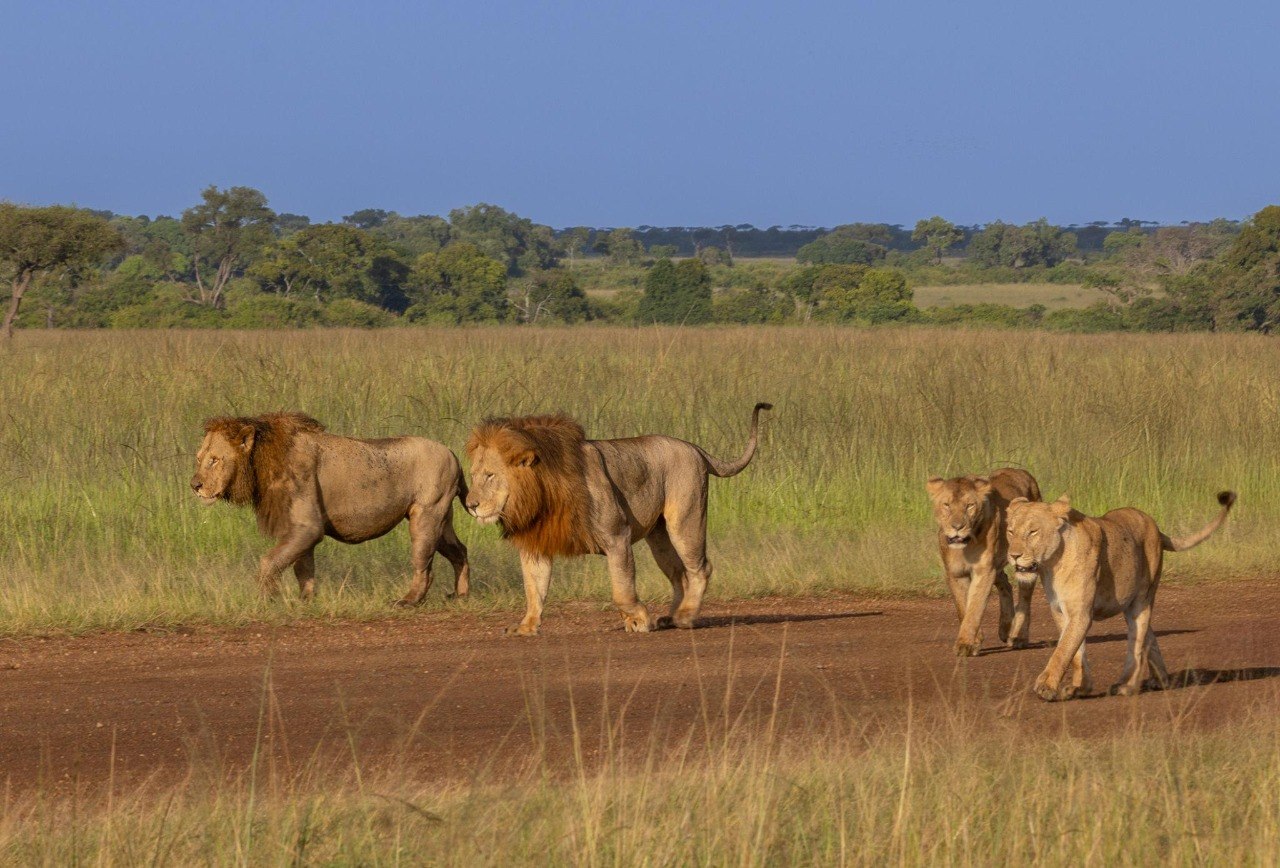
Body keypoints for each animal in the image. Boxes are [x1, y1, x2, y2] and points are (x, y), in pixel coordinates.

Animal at [190, 412, 470, 604]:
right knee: (460, 551)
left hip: (427, 515)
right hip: (441, 520)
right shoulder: (299, 529)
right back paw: (460, 595)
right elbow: (303, 568)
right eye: (199, 458)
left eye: (214, 460)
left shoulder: (308, 526)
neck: (260, 461)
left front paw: (265, 600)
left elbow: (270, 562)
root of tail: (453, 454)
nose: (194, 485)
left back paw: (408, 601)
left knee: (424, 564)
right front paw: (305, 602)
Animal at [464, 403, 772, 635]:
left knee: (700, 568)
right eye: (474, 475)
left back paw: (685, 617)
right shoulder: (536, 545)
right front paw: (526, 627)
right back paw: (671, 617)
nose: (470, 505)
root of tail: (695, 448)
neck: (542, 492)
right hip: (659, 536)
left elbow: (621, 588)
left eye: (490, 475)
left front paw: (638, 620)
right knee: (679, 573)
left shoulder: (617, 535)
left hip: (685, 519)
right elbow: (534, 589)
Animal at [926, 469, 1042, 656]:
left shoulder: (984, 571)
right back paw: (1005, 628)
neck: (965, 547)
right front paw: (975, 641)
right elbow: (964, 607)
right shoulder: (955, 573)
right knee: (1005, 584)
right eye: (947, 505)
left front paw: (965, 644)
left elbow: (975, 607)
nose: (957, 527)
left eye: (969, 506)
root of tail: (1023, 472)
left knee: (1025, 598)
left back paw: (1018, 637)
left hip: (1026, 561)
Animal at [1007, 490, 1235, 701]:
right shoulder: (1060, 611)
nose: (1013, 555)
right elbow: (1076, 652)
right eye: (1010, 531)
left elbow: (1063, 651)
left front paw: (1046, 686)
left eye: (1033, 532)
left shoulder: (1080, 613)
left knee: (1137, 643)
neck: (1052, 565)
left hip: (1141, 600)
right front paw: (1080, 687)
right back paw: (1161, 680)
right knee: (1149, 637)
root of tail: (1155, 526)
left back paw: (1127, 685)